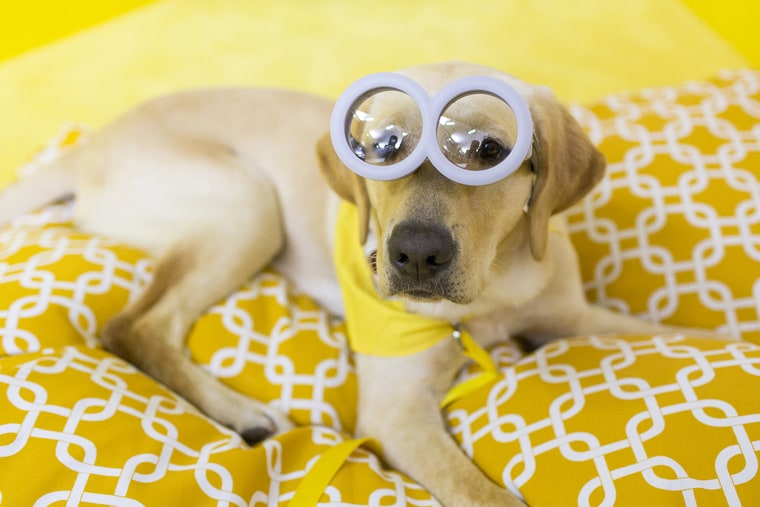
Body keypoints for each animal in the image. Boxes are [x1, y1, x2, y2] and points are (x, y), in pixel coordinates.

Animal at [0, 61, 676, 506]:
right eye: (383, 146)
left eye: (486, 150)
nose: (414, 254)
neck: (493, 296)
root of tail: (90, 145)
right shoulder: (396, 411)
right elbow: (483, 495)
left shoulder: (578, 318)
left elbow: (673, 335)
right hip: (247, 203)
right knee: (133, 326)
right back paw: (244, 415)